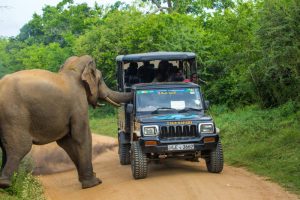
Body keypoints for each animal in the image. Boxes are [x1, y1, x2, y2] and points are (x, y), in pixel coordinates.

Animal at [0, 55, 132, 189]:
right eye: (100, 80)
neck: (73, 69)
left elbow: (66, 142)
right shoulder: (78, 104)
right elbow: (81, 136)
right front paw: (94, 183)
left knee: (5, 149)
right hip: (13, 115)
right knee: (21, 147)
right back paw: (5, 184)